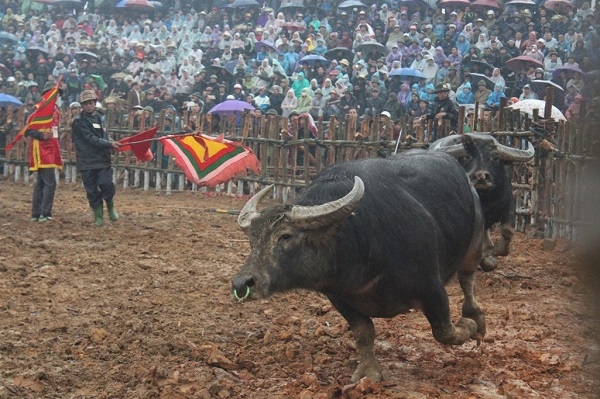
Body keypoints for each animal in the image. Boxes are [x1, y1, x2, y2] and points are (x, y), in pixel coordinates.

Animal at [232, 152, 486, 382]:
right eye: (252, 239)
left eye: (285, 236)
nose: (241, 283)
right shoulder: (340, 297)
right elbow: (364, 332)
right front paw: (368, 373)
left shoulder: (432, 288)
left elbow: (445, 331)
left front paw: (469, 326)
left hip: (474, 243)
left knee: (467, 278)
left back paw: (476, 318)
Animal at [428, 134, 536, 272]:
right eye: (467, 157)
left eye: (495, 158)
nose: (481, 176)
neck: (486, 199)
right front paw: (486, 257)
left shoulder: (508, 204)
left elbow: (507, 230)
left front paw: (495, 251)